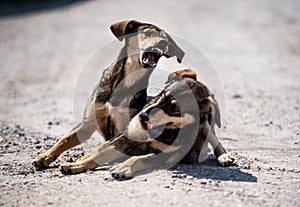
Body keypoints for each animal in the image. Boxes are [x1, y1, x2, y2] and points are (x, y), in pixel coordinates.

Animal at [32, 20, 183, 170]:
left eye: (165, 39)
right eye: (147, 33)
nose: (163, 43)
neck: (128, 81)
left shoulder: (125, 130)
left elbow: (102, 147)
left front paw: (81, 160)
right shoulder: (87, 124)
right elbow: (64, 140)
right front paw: (44, 156)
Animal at [56, 69, 234, 180]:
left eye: (176, 108)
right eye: (163, 93)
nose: (142, 116)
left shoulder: (168, 156)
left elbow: (140, 158)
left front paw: (124, 168)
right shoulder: (126, 138)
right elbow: (100, 155)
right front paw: (76, 165)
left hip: (207, 124)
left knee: (216, 141)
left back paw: (224, 157)